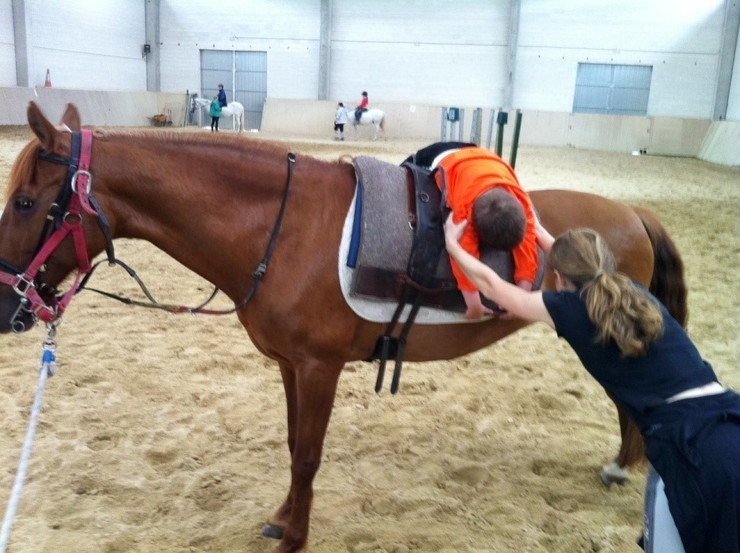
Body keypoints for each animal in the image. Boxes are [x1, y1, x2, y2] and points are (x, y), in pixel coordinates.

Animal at [0, 104, 688, 552]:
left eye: (27, 202)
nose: (9, 304)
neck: (280, 227)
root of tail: (634, 212)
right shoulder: (289, 365)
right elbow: (291, 446)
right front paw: (282, 519)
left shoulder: (318, 367)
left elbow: (307, 455)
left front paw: (294, 538)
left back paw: (623, 467)